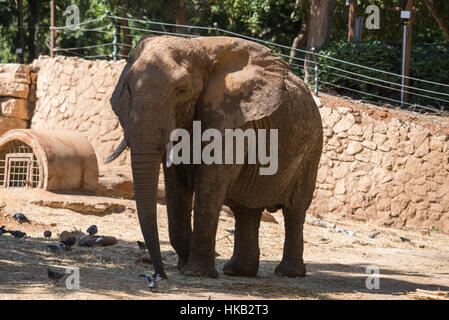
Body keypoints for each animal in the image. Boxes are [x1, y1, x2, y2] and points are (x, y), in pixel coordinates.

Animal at [105, 35, 322, 278]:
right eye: (127, 87)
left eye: (182, 89)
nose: (159, 275)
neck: (196, 47)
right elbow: (175, 185)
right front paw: (184, 267)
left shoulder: (232, 120)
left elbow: (211, 183)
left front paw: (195, 273)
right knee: (246, 210)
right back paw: (238, 271)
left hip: (312, 149)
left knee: (295, 211)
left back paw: (288, 273)